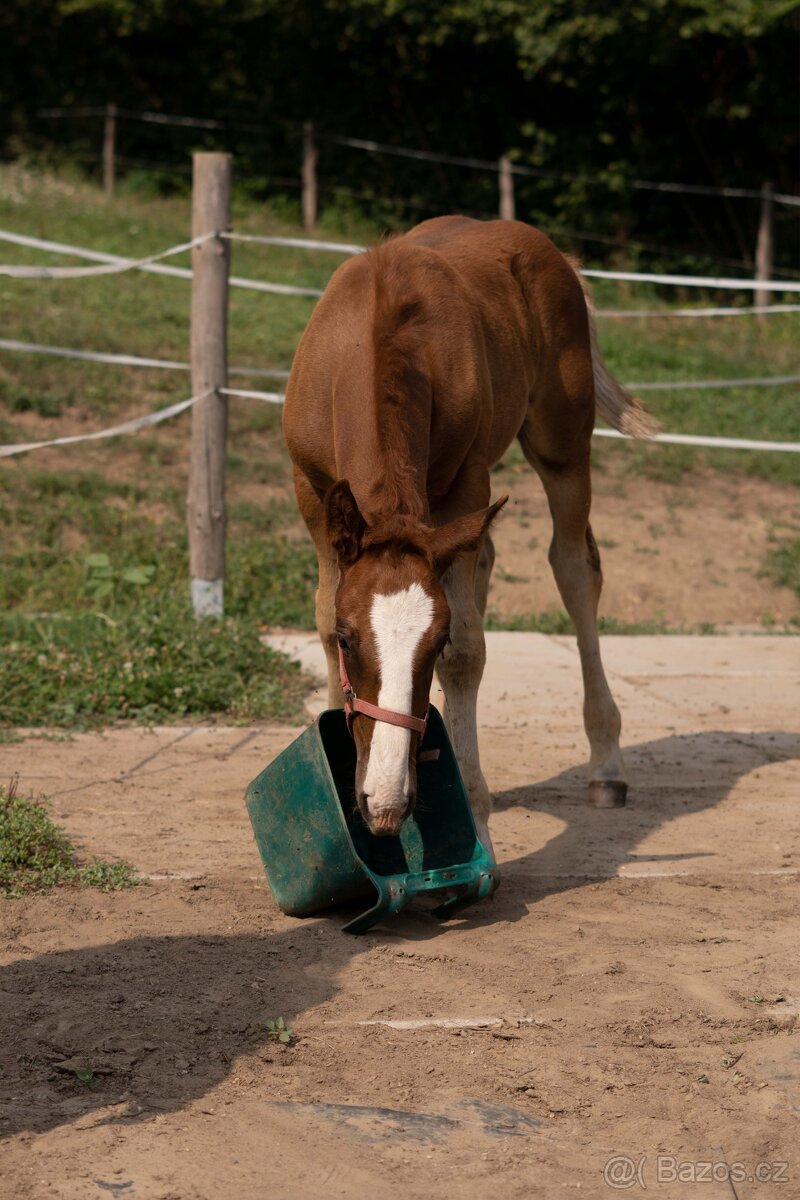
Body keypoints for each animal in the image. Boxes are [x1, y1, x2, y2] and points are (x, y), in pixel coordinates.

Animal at [284, 218, 652, 854]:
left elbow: (467, 653)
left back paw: (606, 765)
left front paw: (475, 816)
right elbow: (324, 623)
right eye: (352, 641)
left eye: (432, 643)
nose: (386, 804)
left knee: (574, 568)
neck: (369, 337)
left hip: (561, 445)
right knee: (491, 559)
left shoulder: (466, 484)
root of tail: (549, 250)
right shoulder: (314, 495)